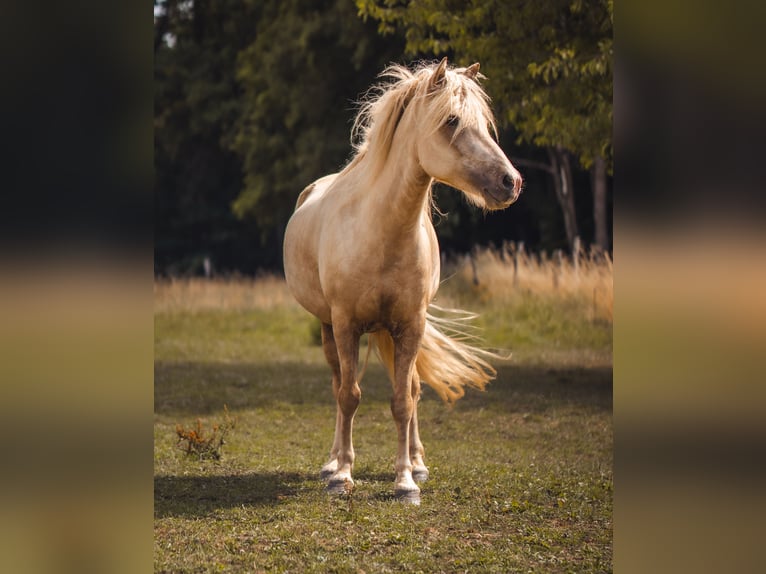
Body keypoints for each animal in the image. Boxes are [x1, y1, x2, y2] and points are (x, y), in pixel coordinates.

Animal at [283, 58, 523, 504]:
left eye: (484, 123)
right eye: (451, 120)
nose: (510, 182)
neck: (381, 230)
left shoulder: (411, 325)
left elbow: (403, 400)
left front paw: (406, 481)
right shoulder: (344, 324)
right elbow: (349, 395)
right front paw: (343, 475)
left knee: (410, 388)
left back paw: (417, 461)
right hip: (328, 328)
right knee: (339, 385)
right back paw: (332, 462)